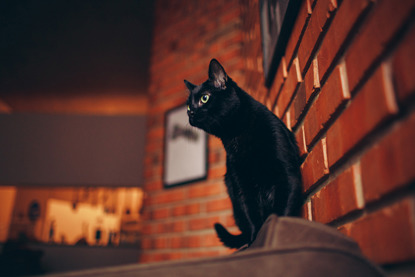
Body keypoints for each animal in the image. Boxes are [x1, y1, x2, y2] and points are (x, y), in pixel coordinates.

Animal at [185, 58, 302, 248]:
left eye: (205, 98)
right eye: (188, 106)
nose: (191, 113)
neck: (237, 136)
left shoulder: (287, 175)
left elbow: (282, 210)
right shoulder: (241, 186)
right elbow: (252, 216)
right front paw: (255, 241)